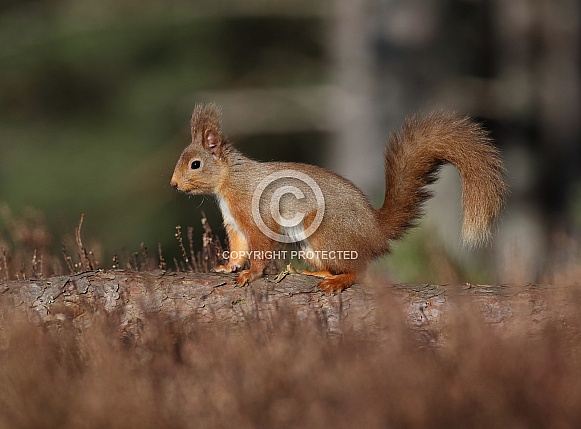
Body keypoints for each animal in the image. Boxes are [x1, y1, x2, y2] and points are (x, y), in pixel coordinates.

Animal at [170, 103, 506, 290]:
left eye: (195, 164)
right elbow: (239, 248)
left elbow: (260, 247)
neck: (230, 181)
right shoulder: (234, 223)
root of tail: (375, 231)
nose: (173, 185)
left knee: (358, 271)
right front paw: (227, 267)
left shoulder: (255, 213)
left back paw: (338, 281)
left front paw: (251, 275)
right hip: (310, 246)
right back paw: (314, 272)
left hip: (326, 233)